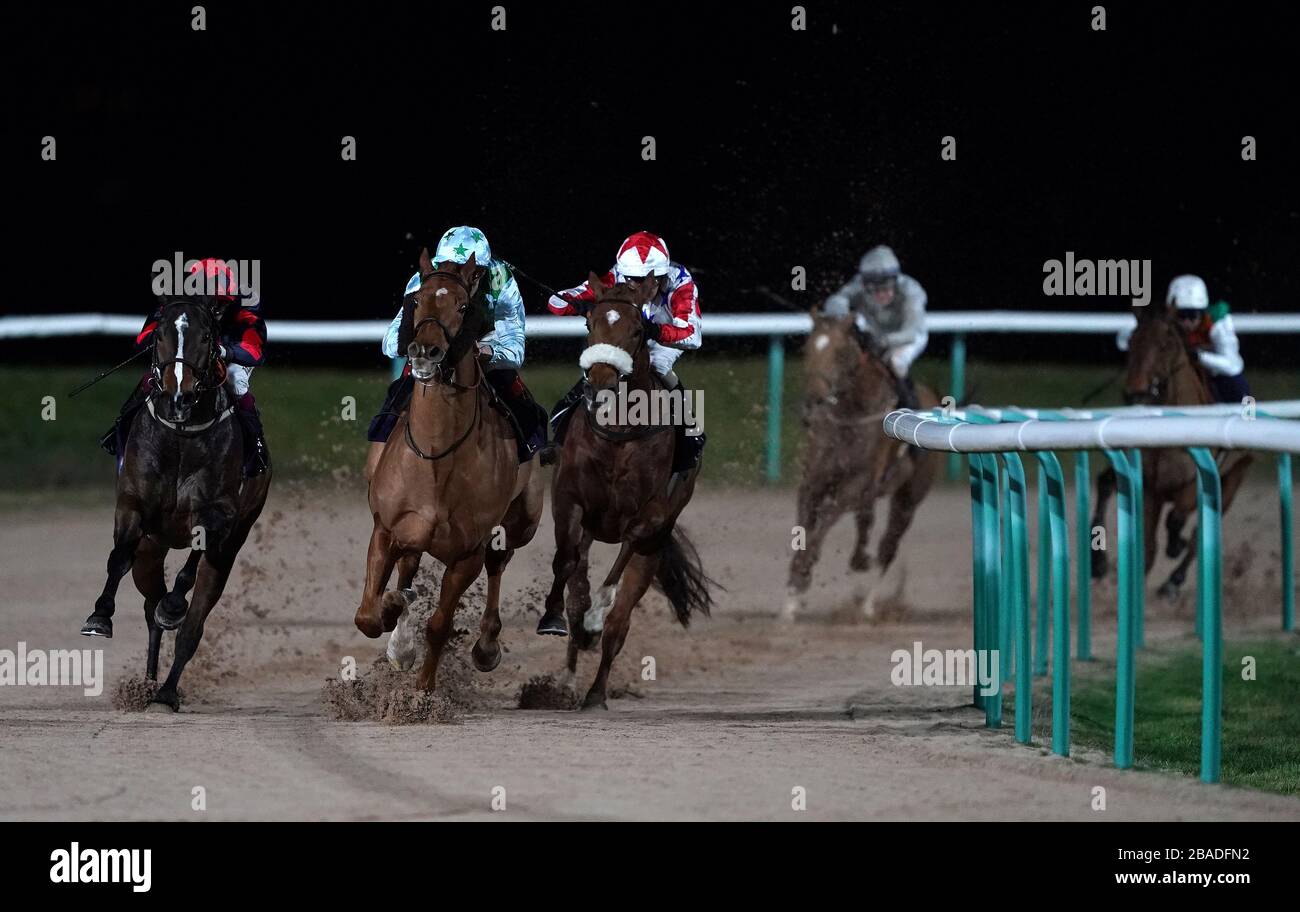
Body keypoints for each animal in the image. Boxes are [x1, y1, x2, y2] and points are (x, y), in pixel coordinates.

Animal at [80, 300, 271, 717]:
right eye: (160, 334)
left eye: (206, 336)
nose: (178, 396)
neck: (182, 435)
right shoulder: (132, 506)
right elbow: (118, 559)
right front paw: (100, 617)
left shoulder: (219, 516)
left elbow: (187, 575)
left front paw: (173, 606)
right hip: (152, 550)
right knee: (149, 604)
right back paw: (148, 685)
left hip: (227, 552)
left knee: (191, 623)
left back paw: (165, 692)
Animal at [351, 249, 543, 691]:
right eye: (416, 300)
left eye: (462, 306)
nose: (426, 351)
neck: (438, 457)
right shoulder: (386, 528)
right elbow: (369, 615)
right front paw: (395, 631)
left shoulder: (467, 553)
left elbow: (439, 624)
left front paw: (422, 690)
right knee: (407, 568)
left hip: (522, 522)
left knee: (499, 561)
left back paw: (486, 646)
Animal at [540, 275, 717, 711]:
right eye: (589, 323)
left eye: (638, 330)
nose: (601, 383)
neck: (620, 431)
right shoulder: (570, 501)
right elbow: (566, 564)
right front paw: (554, 618)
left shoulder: (651, 517)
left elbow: (622, 562)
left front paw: (596, 616)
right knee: (578, 590)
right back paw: (566, 681)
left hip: (653, 548)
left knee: (619, 625)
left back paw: (595, 692)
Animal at [785, 313, 941, 620]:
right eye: (807, 349)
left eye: (842, 354)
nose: (812, 405)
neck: (851, 418)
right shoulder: (814, 482)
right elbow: (806, 525)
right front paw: (794, 590)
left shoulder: (854, 486)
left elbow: (825, 520)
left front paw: (802, 577)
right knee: (866, 521)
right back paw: (860, 560)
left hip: (908, 499)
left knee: (888, 546)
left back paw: (869, 603)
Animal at [1092, 306, 1253, 600]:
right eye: (1132, 342)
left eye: (1166, 345)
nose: (1136, 393)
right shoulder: (1149, 489)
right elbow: (1148, 547)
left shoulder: (1193, 484)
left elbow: (1177, 520)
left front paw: (1176, 545)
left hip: (1234, 478)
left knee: (1200, 533)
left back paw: (1174, 579)